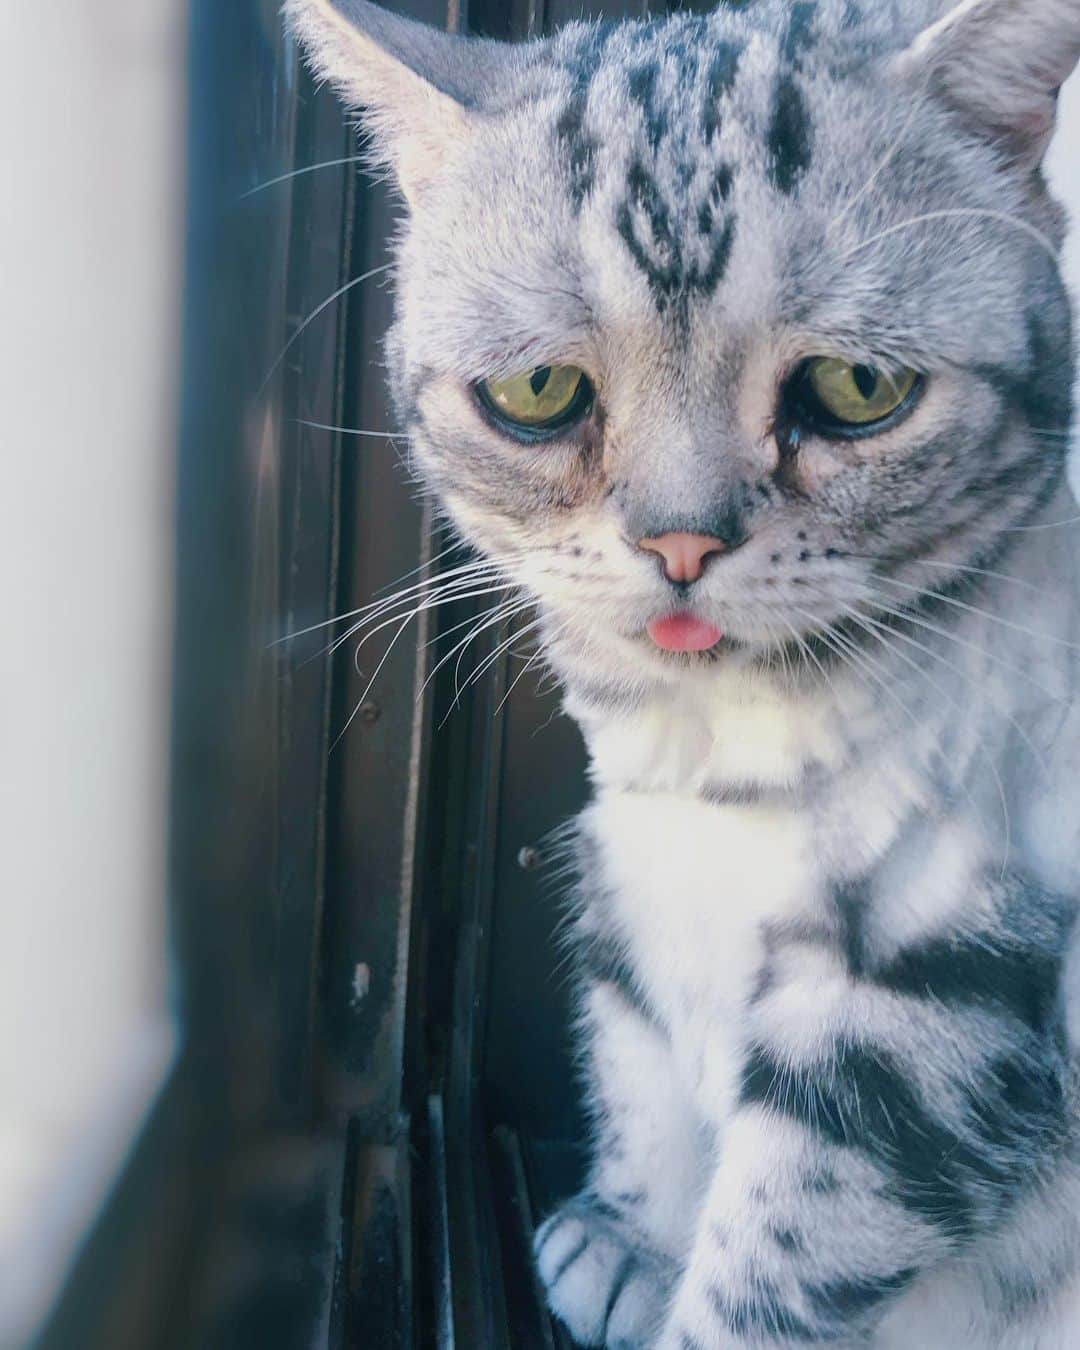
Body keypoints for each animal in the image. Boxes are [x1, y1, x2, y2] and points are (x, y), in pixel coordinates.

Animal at [286, 0, 1080, 1344]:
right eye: (538, 389)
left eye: (859, 387)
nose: (680, 543)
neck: (726, 749)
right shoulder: (629, 848)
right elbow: (637, 1046)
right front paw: (630, 1236)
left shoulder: (936, 1000)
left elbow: (781, 1249)